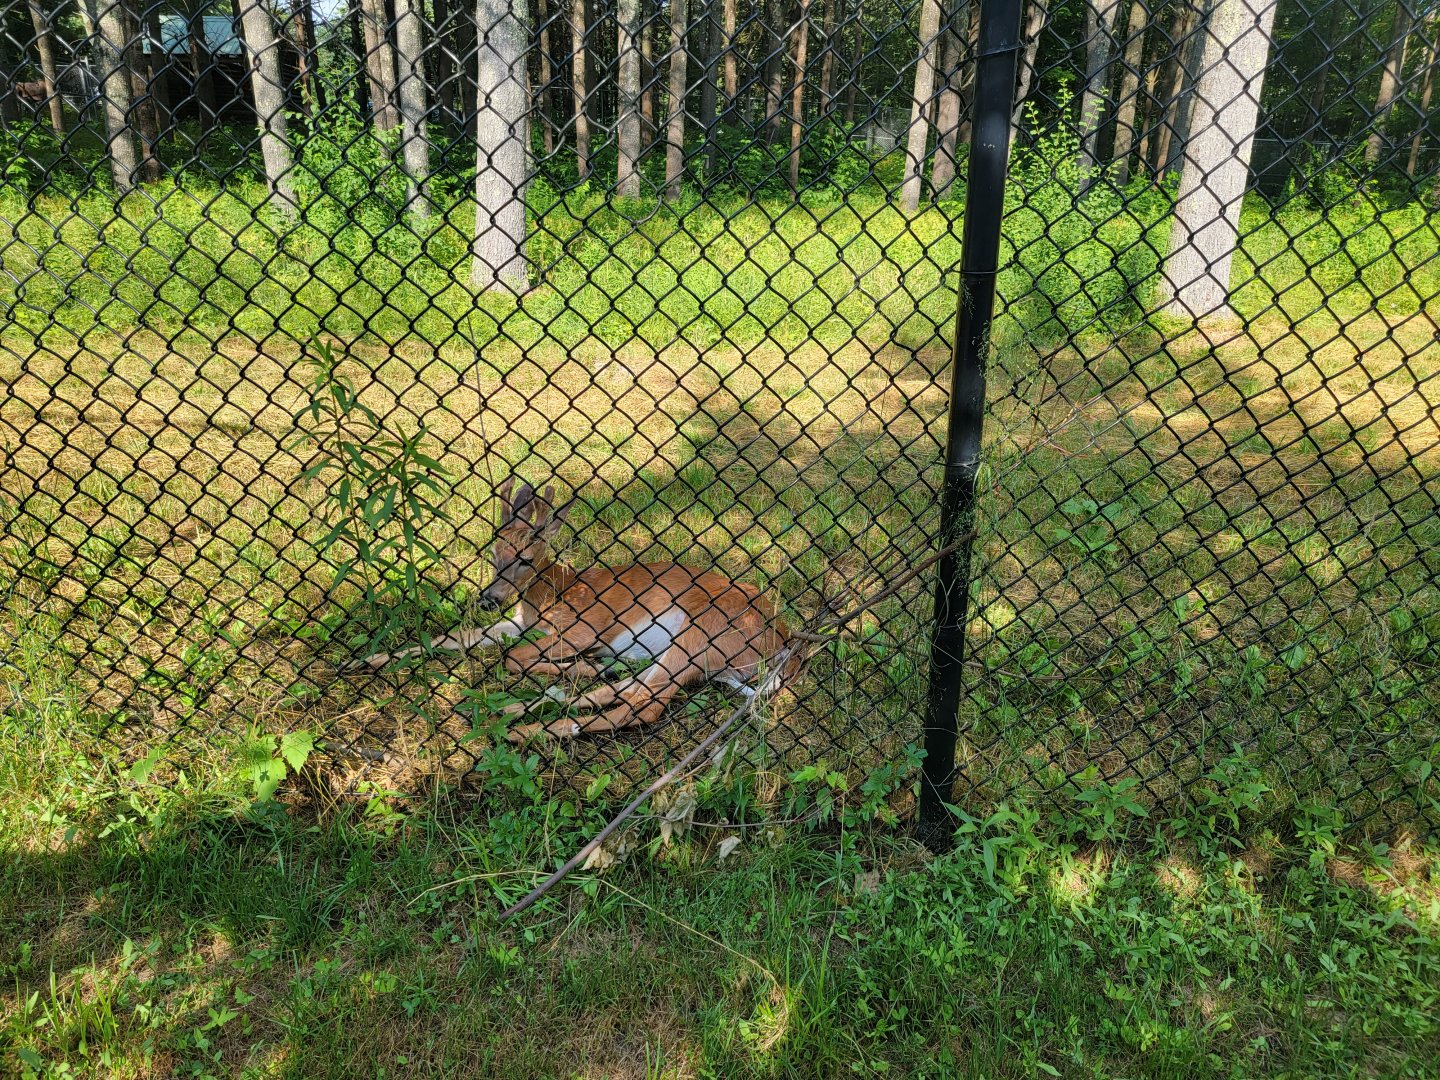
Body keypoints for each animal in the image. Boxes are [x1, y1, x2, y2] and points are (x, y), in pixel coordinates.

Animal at [351, 480, 795, 743]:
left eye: (526, 559)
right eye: (493, 553)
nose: (489, 599)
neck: (552, 591)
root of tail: (785, 645)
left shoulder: (585, 627)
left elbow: (513, 658)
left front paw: (576, 666)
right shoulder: (519, 623)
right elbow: (453, 637)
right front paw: (364, 660)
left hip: (702, 631)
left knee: (643, 705)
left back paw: (517, 730)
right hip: (690, 654)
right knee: (625, 689)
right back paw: (516, 707)